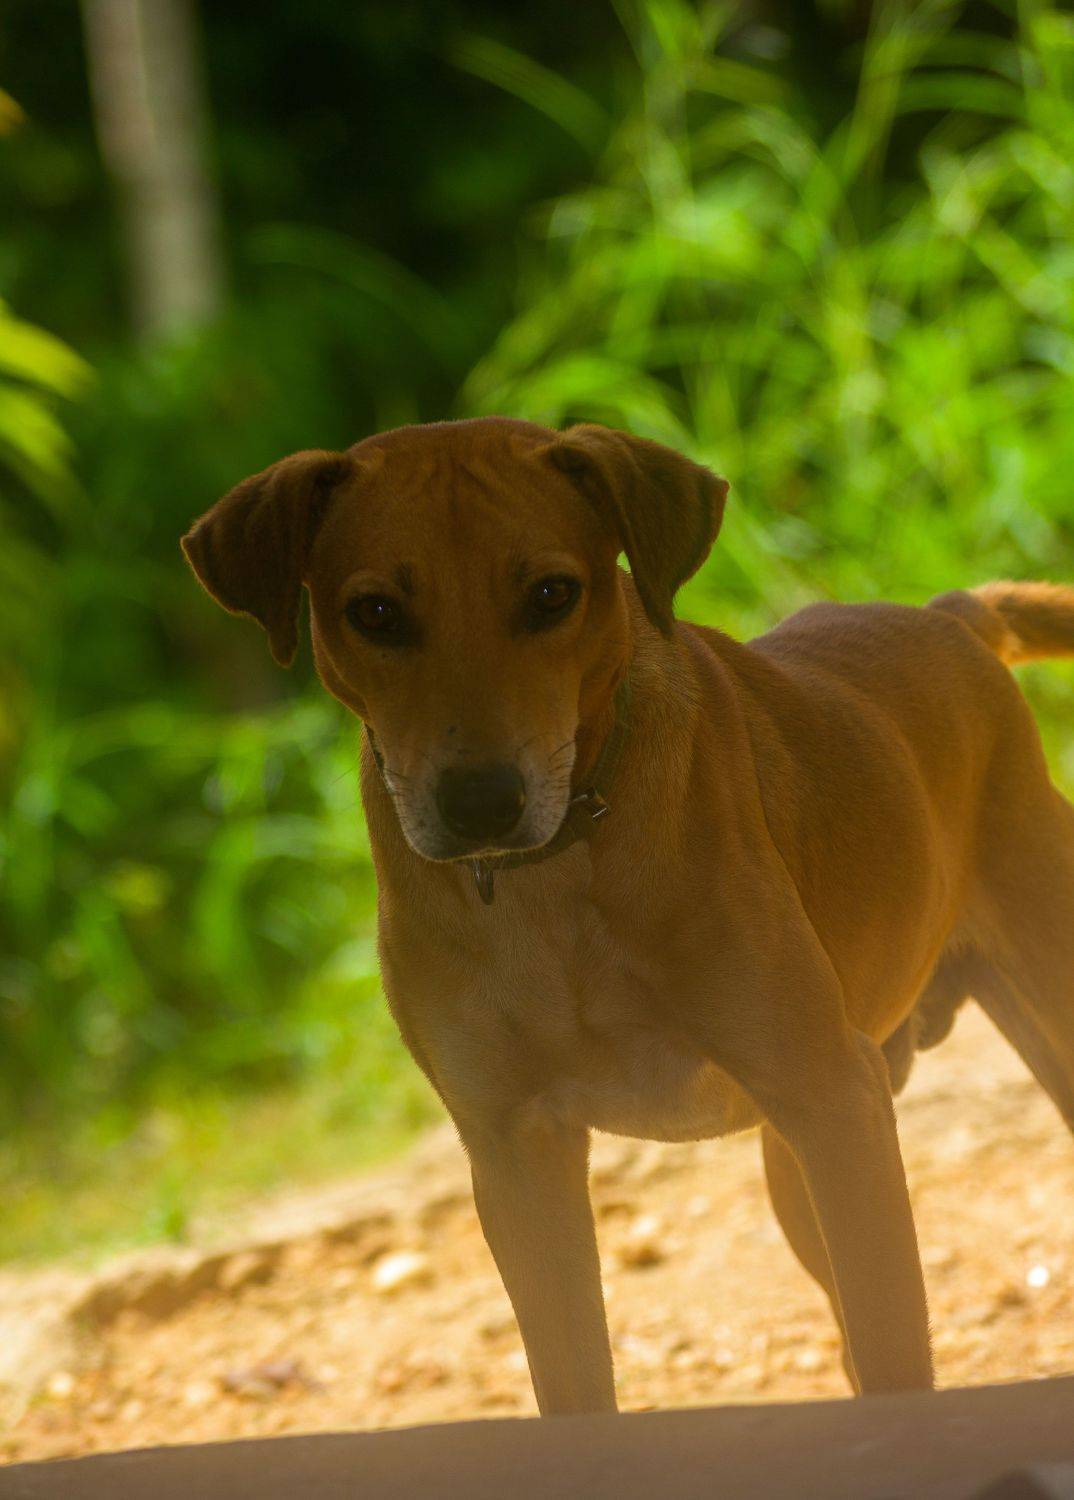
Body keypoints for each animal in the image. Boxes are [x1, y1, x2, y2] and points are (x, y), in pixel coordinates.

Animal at [183, 417, 1074, 1412]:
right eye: (373, 612)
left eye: (551, 594)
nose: (482, 803)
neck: (555, 876)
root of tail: (950, 617)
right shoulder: (515, 1157)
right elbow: (573, 1379)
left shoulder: (831, 1097)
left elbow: (897, 1354)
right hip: (798, 1165)